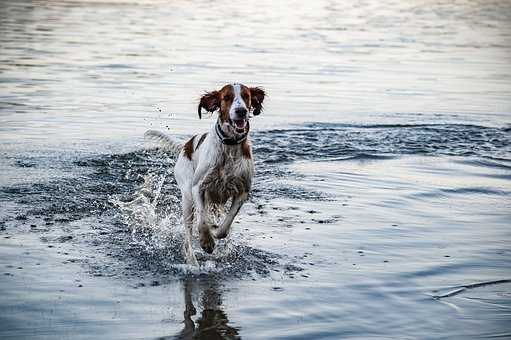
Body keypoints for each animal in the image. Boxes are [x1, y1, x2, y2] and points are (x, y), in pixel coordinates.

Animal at [144, 82, 264, 266]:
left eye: (246, 96)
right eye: (227, 97)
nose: (241, 111)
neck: (229, 147)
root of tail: (185, 146)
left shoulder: (242, 192)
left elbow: (224, 227)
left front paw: (215, 232)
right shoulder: (198, 187)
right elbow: (201, 221)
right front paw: (206, 242)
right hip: (187, 198)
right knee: (187, 235)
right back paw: (192, 260)